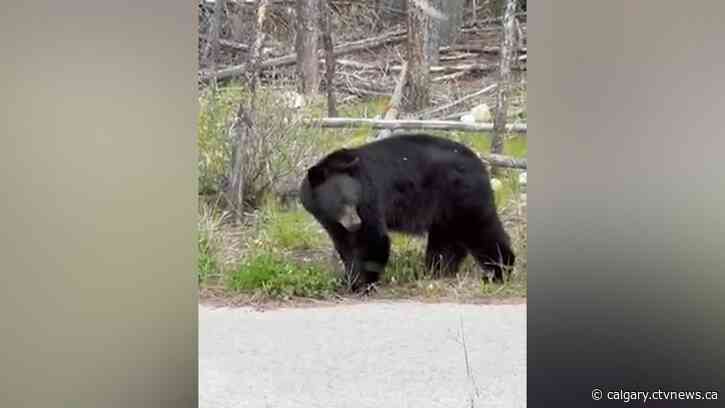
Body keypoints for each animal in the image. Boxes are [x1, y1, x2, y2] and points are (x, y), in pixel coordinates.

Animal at [300, 133, 515, 291]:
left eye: (353, 200)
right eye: (340, 203)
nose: (355, 223)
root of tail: (480, 163)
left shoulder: (371, 198)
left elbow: (372, 238)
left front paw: (361, 283)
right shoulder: (330, 220)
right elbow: (343, 243)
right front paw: (347, 277)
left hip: (462, 195)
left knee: (480, 230)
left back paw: (499, 273)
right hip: (444, 209)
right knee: (446, 240)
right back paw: (438, 271)